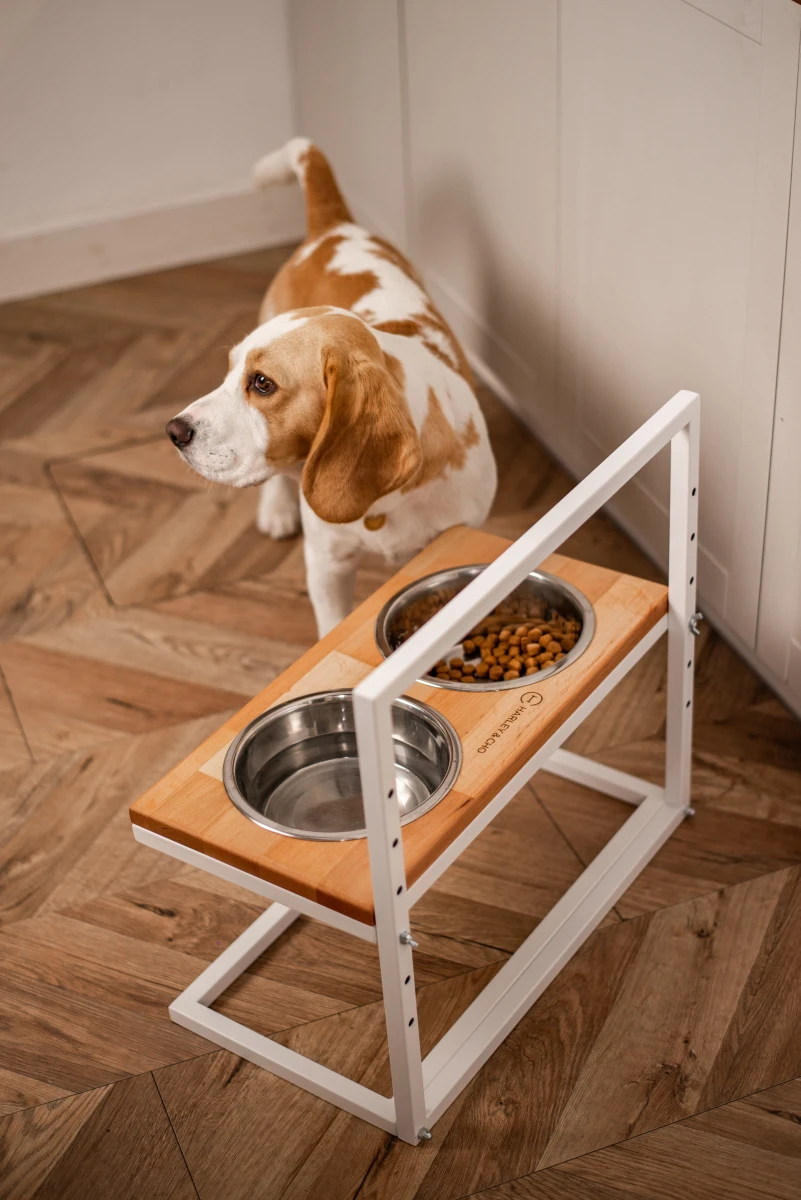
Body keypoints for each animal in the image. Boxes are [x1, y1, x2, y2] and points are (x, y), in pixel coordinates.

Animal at [166, 138, 497, 637]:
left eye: (262, 383)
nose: (174, 431)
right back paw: (277, 510)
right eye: (229, 371)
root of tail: (334, 225)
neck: (385, 502)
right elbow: (332, 624)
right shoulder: (327, 563)